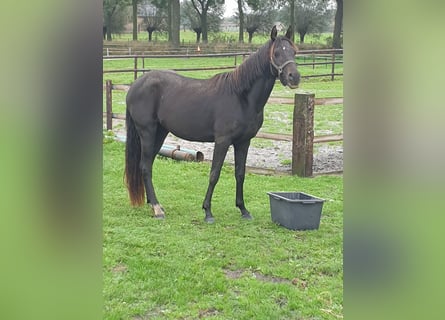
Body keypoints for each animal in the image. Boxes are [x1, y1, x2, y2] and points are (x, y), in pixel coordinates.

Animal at [123, 26, 300, 222]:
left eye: (294, 52)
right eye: (276, 53)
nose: (294, 77)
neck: (241, 97)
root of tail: (135, 85)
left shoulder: (243, 142)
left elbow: (240, 174)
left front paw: (243, 209)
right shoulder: (222, 141)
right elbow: (214, 174)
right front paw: (207, 211)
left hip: (160, 133)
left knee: (148, 164)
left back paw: (153, 203)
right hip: (147, 132)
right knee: (145, 167)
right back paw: (156, 208)